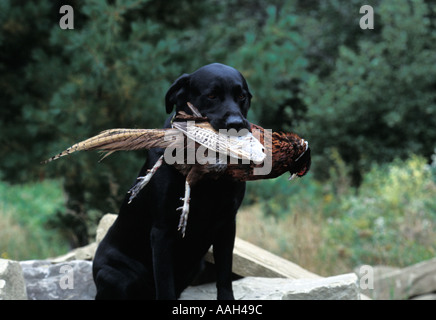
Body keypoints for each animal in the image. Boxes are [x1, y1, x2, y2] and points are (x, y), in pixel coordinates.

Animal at [93, 63, 254, 300]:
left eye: (241, 96)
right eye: (212, 95)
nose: (236, 124)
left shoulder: (227, 224)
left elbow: (224, 277)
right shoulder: (163, 231)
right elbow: (165, 285)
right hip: (115, 275)